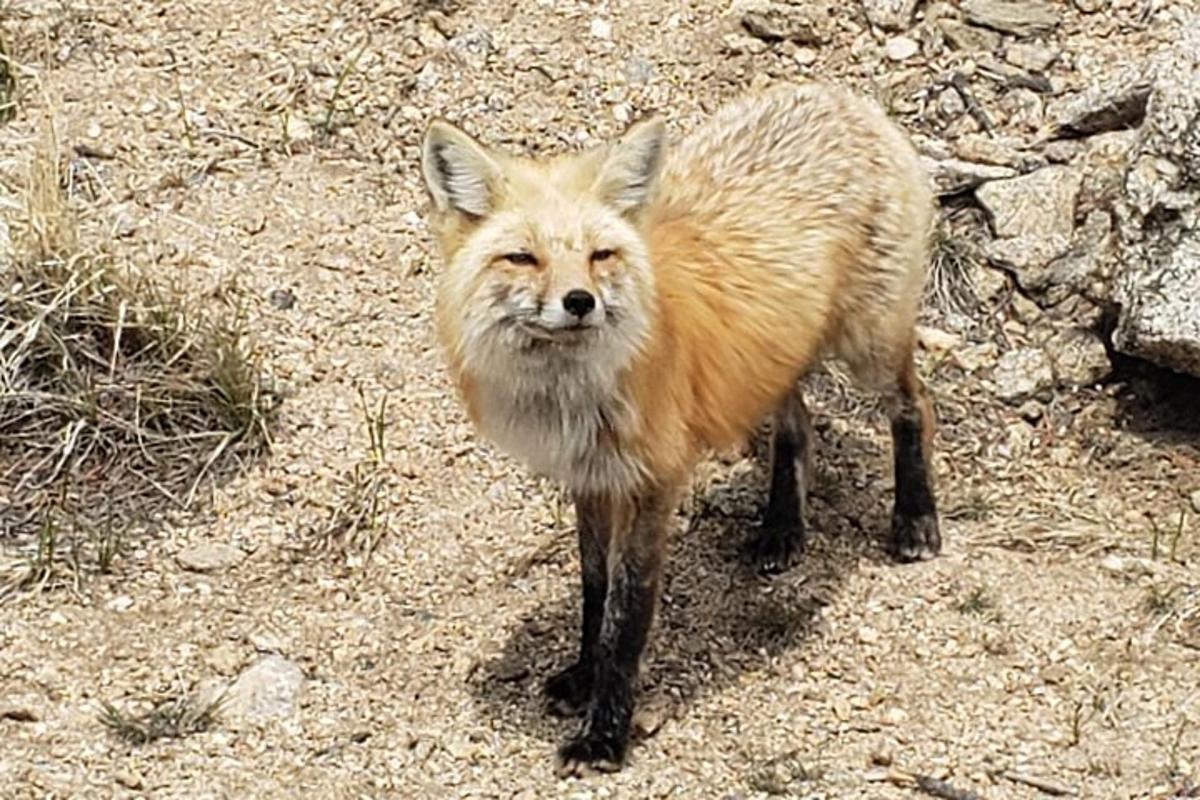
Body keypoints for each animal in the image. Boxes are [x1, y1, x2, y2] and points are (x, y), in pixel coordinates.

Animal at [420, 81, 936, 777]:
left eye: (600, 255)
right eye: (522, 258)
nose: (579, 302)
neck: (574, 397)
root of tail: (833, 94)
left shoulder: (652, 481)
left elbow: (627, 612)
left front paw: (604, 735)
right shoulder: (591, 478)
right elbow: (594, 590)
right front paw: (583, 675)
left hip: (869, 347)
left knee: (915, 407)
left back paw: (915, 518)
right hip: (771, 359)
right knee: (798, 424)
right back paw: (782, 527)